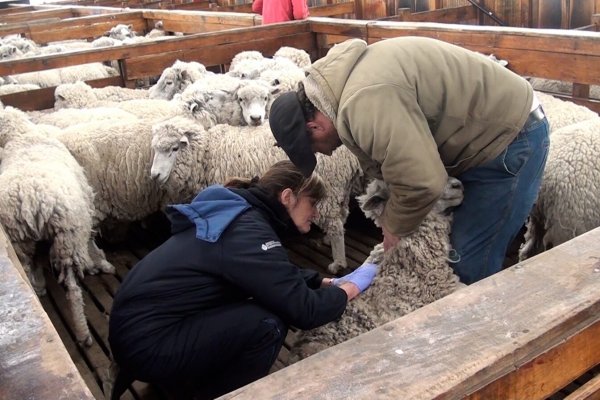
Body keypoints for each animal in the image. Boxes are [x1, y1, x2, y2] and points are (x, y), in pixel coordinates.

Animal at [0, 129, 115, 346]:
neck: (22, 134)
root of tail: (31, 200)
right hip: (67, 240)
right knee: (73, 291)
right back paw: (83, 333)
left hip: (22, 243)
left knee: (28, 272)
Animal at [151, 120, 366, 274]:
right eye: (155, 150)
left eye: (174, 149)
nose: (154, 176)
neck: (206, 155)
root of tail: (348, 153)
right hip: (340, 187)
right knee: (342, 214)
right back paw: (329, 240)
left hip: (328, 190)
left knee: (335, 224)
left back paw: (338, 262)